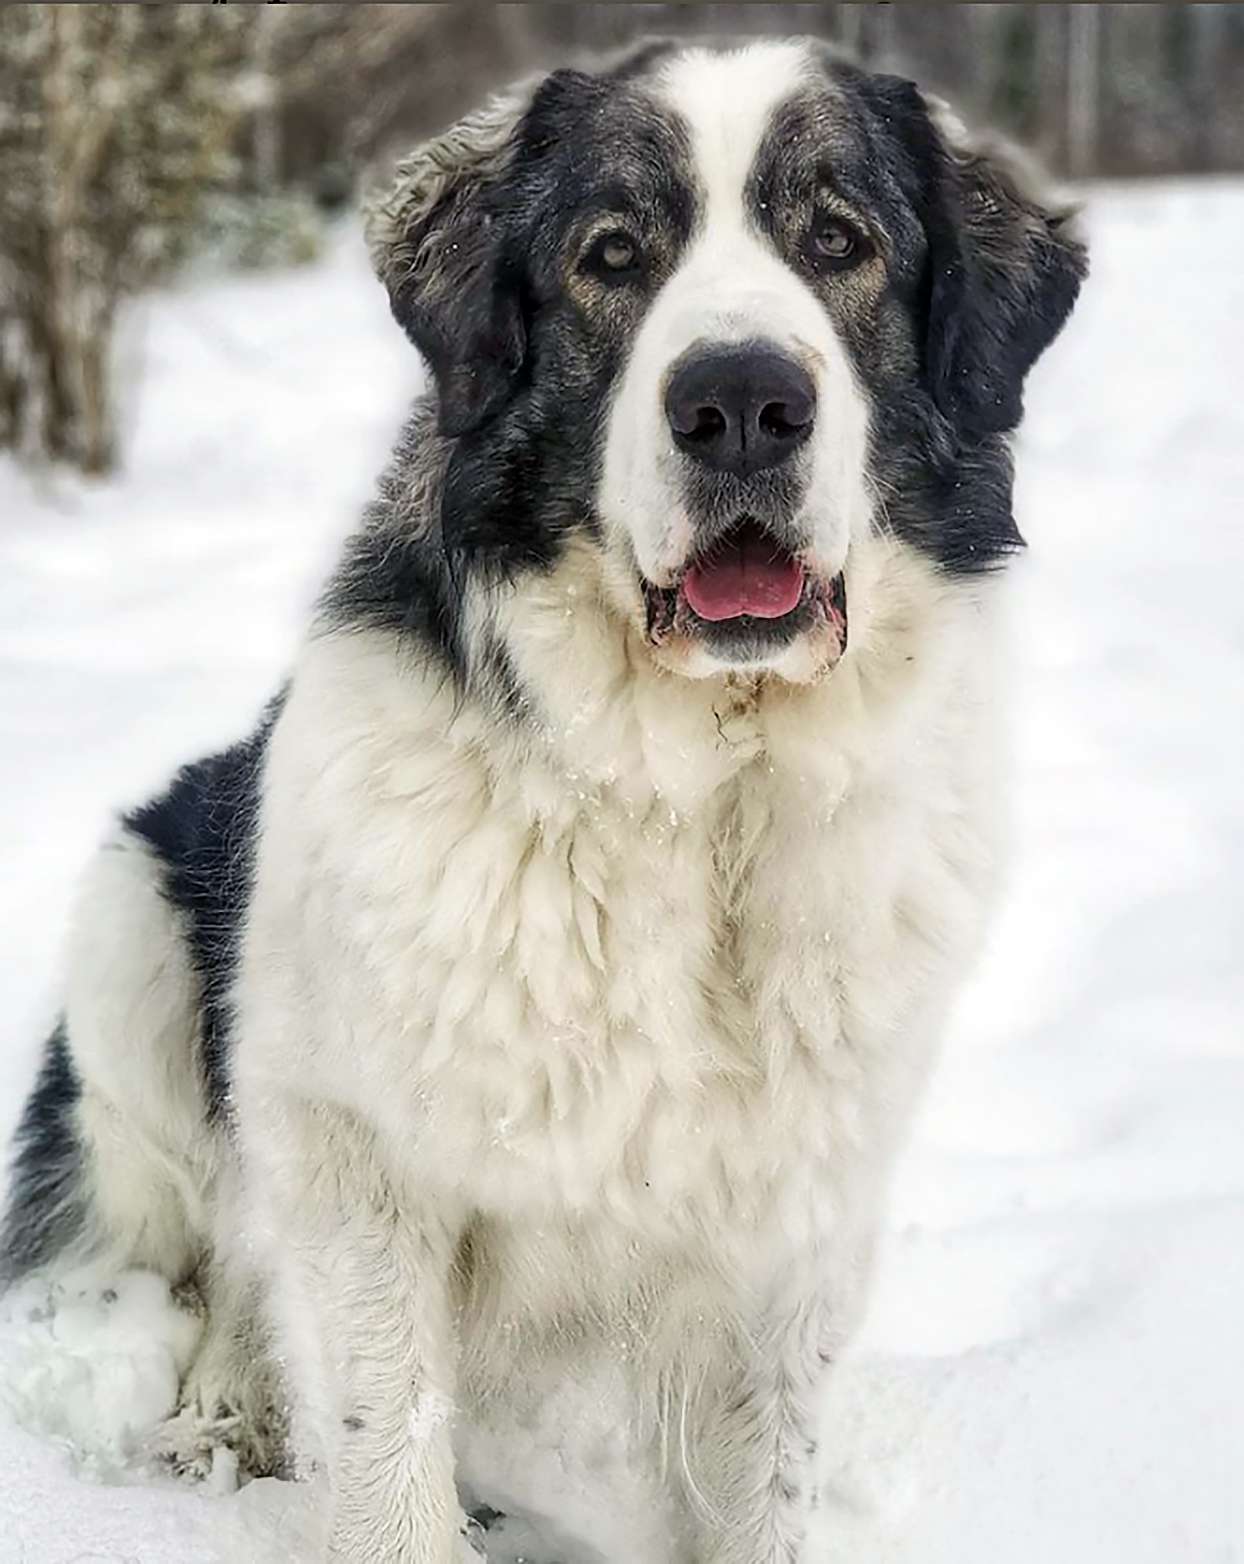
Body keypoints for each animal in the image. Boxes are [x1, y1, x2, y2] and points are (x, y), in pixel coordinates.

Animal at [0, 33, 1082, 1564]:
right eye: (613, 254)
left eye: (839, 242)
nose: (741, 403)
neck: (692, 804)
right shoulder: (354, 1151)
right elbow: (384, 1439)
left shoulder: (790, 1218)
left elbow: (761, 1480)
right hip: (137, 922)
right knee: (220, 1243)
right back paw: (222, 1411)